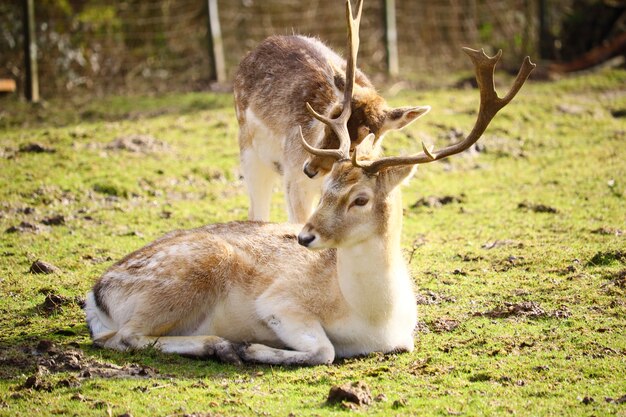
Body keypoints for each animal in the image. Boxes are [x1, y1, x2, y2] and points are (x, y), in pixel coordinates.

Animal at [234, 0, 428, 224]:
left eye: (357, 145)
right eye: (327, 121)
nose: (309, 169)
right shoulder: (293, 178)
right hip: (249, 153)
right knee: (256, 210)